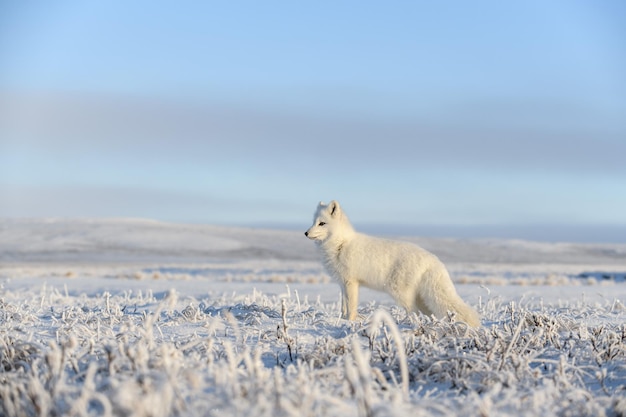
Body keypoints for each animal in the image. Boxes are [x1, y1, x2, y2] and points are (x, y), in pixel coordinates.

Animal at [304, 202, 480, 328]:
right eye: (313, 222)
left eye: (322, 223)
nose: (305, 233)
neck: (340, 244)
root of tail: (432, 259)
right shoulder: (342, 284)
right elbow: (343, 307)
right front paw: (343, 320)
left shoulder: (350, 283)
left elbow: (351, 307)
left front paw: (350, 322)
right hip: (419, 298)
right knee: (427, 314)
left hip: (400, 293)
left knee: (414, 313)